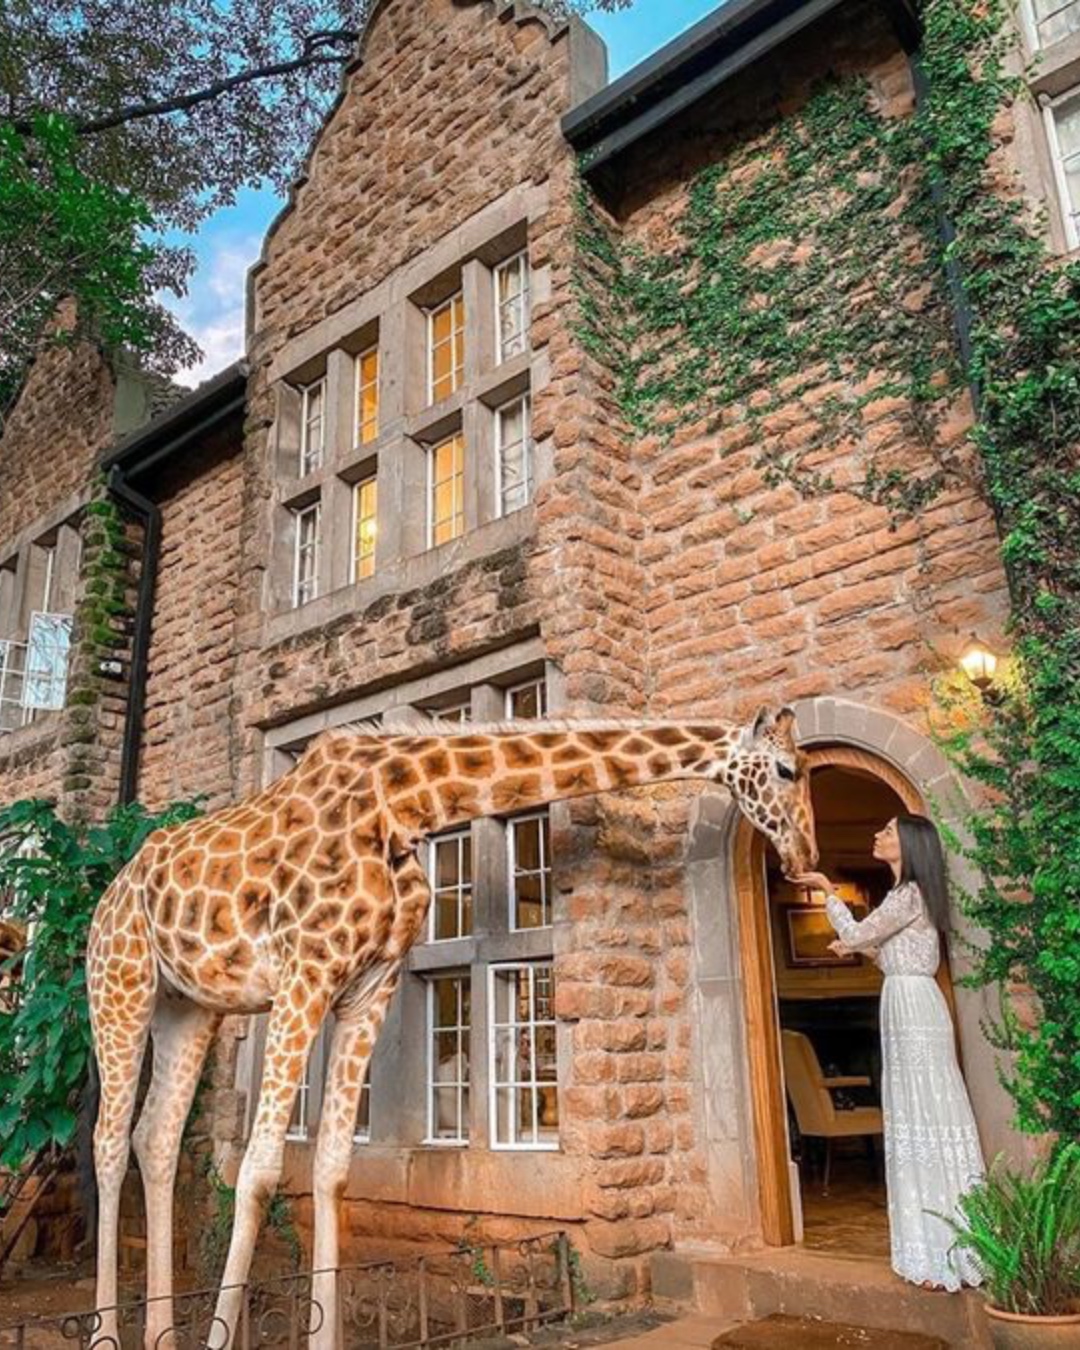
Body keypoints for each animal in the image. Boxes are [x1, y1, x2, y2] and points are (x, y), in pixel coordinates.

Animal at [86, 704, 817, 1350]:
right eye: (787, 769)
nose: (804, 855)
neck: (400, 806)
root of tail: (112, 889)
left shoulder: (369, 986)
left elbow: (332, 1170)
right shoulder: (305, 975)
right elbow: (262, 1169)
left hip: (189, 1006)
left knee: (156, 1137)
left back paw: (157, 1334)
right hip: (120, 986)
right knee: (108, 1139)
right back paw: (107, 1335)